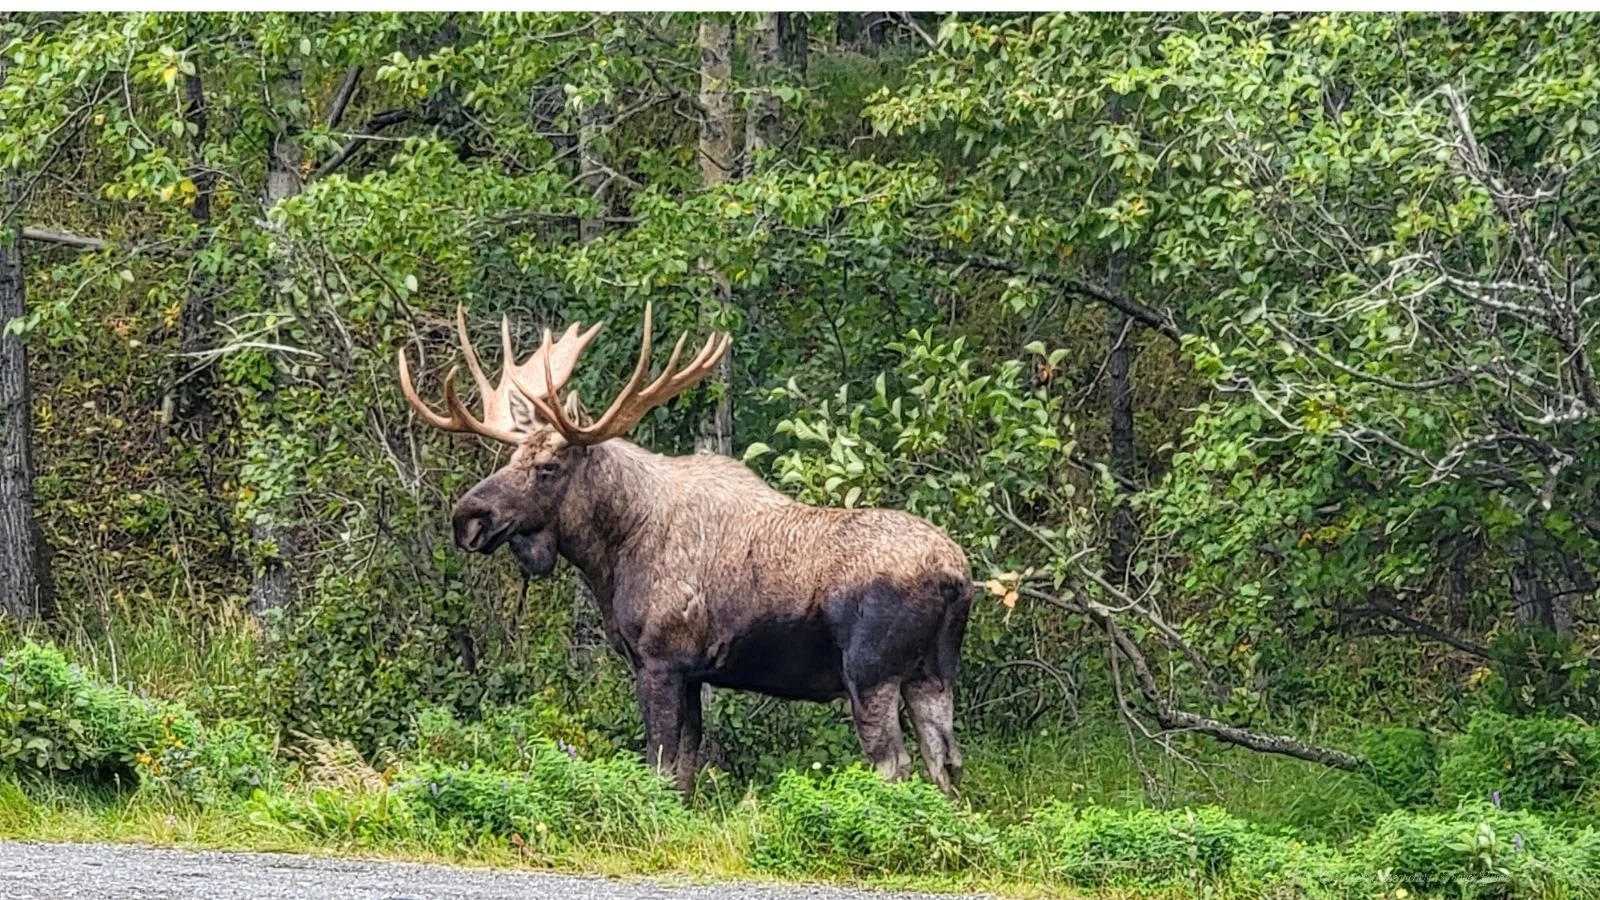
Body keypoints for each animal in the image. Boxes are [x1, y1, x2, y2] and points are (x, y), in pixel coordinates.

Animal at [397, 303, 973, 796]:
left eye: (547, 467)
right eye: (511, 456)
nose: (469, 518)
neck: (614, 552)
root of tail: (956, 578)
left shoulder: (660, 660)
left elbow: (659, 764)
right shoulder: (694, 673)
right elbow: (684, 774)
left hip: (871, 672)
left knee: (895, 766)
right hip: (933, 673)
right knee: (946, 763)